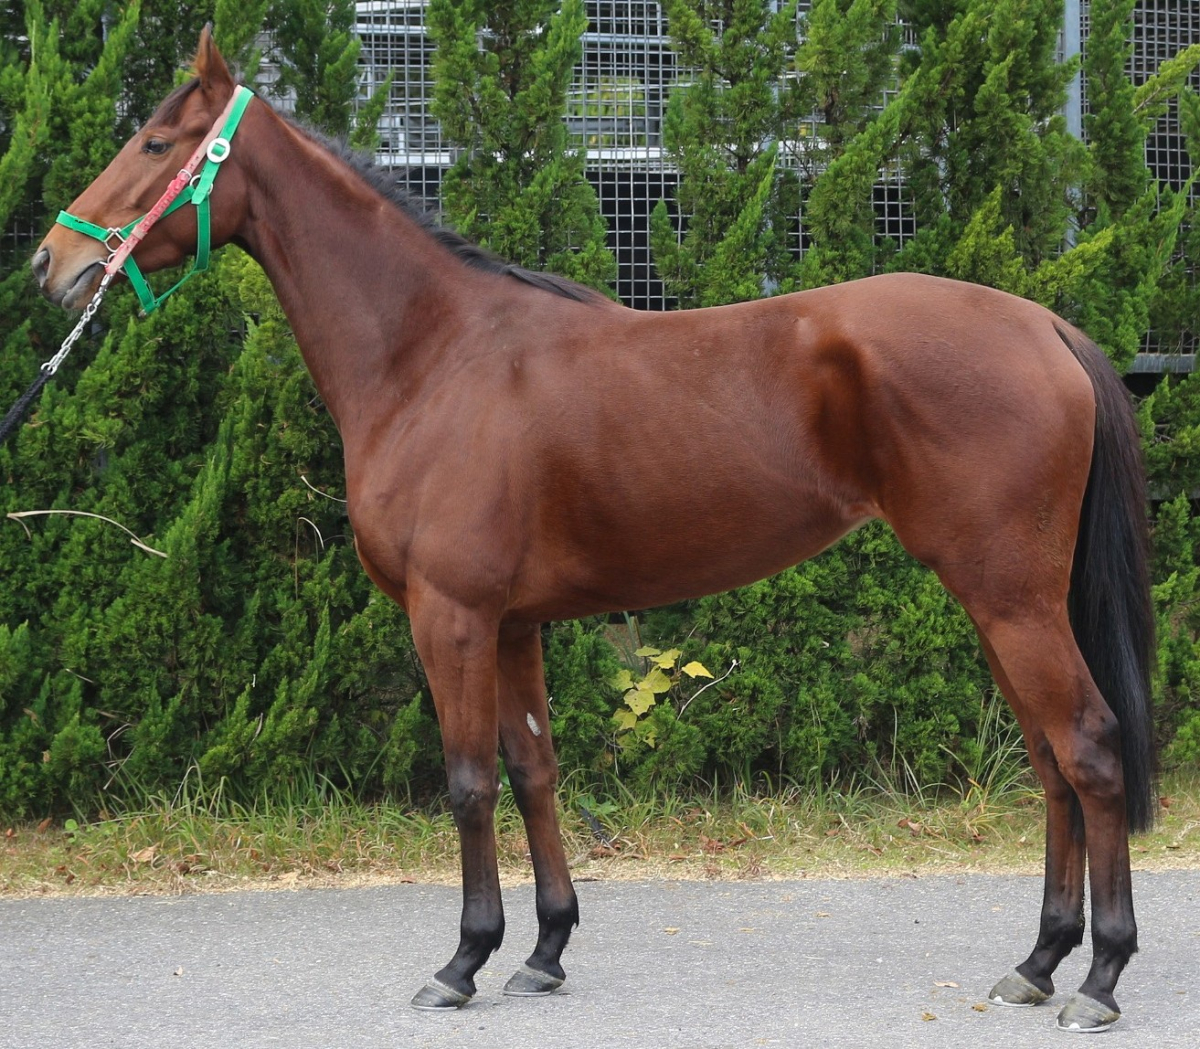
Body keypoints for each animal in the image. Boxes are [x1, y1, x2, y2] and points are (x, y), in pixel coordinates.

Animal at [32, 29, 1155, 1033]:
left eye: (152, 142)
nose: (52, 261)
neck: (433, 355)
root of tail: (1044, 325)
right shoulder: (512, 622)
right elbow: (535, 770)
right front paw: (543, 950)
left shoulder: (451, 616)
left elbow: (469, 781)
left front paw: (462, 960)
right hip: (1001, 599)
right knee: (1050, 760)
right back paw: (1039, 961)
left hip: (1009, 597)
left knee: (1089, 748)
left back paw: (1099, 978)